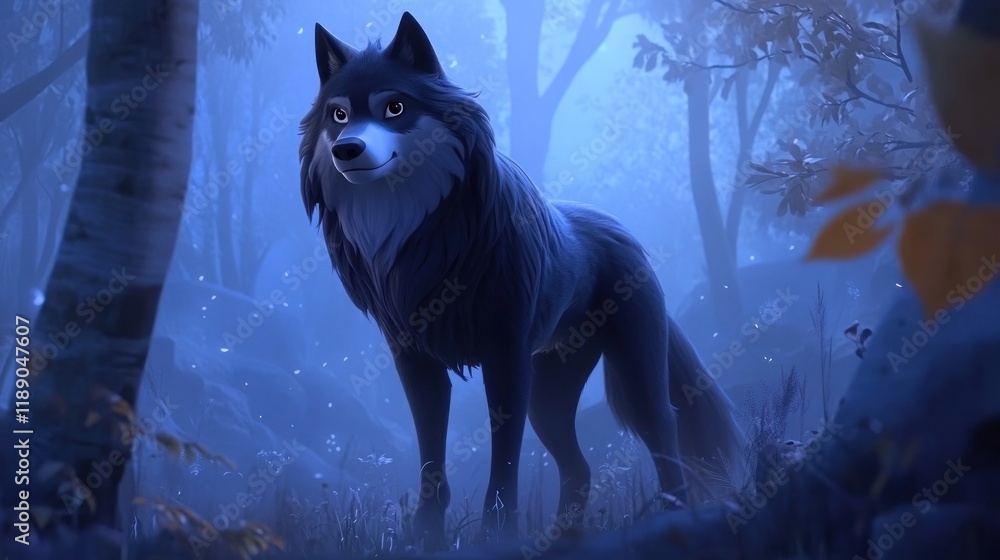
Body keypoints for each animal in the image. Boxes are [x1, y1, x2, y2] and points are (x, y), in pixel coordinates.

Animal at [299, 12, 743, 546]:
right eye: (339, 115)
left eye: (395, 107)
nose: (347, 150)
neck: (423, 232)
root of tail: (621, 229)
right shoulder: (416, 361)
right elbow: (430, 456)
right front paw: (425, 534)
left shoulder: (505, 358)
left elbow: (505, 459)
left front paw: (496, 535)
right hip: (549, 400)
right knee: (580, 468)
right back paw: (561, 539)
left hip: (633, 375)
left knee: (665, 431)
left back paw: (673, 517)